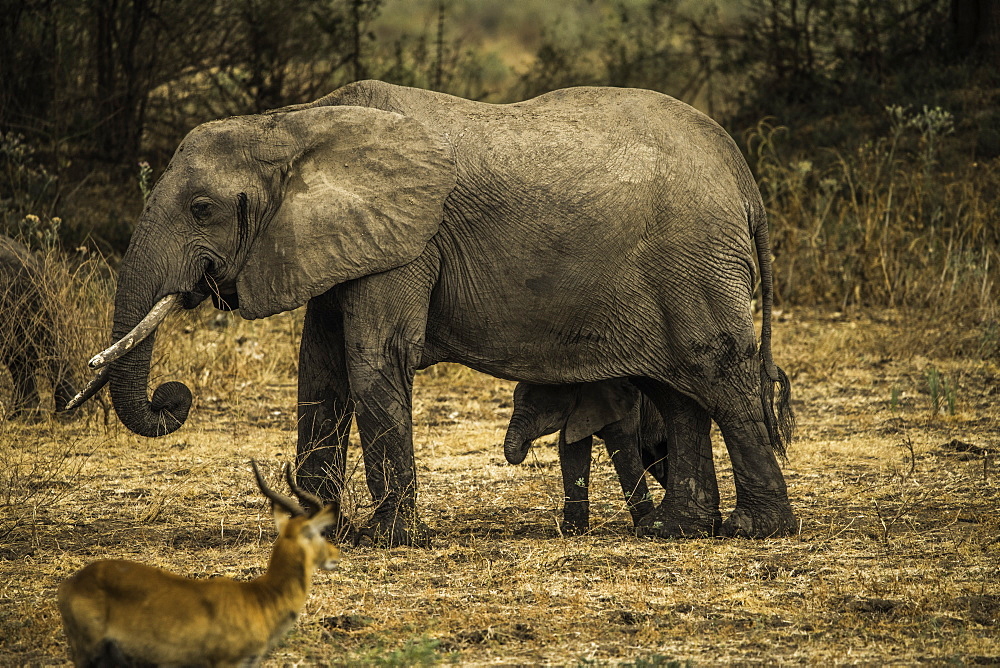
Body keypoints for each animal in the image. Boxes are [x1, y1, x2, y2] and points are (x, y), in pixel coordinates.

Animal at [504, 378, 668, 536]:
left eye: (549, 410)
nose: (526, 444)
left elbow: (621, 445)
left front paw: (644, 528)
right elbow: (573, 449)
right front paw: (572, 532)